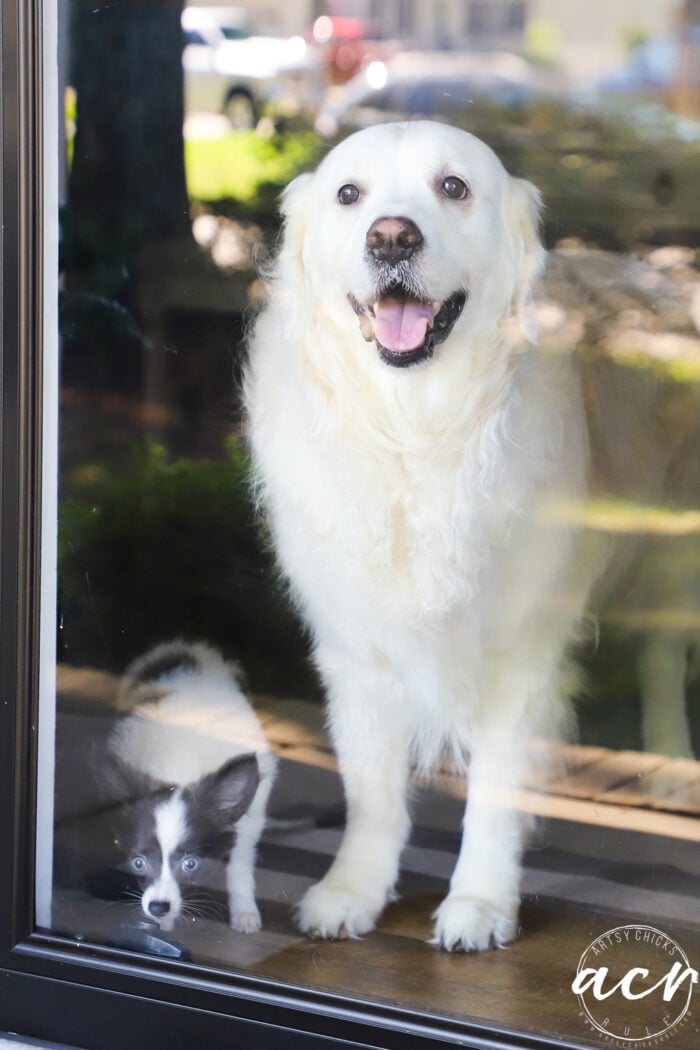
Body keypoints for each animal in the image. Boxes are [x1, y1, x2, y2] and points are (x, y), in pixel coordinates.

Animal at [102, 642, 274, 932]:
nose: (157, 908)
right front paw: (163, 924)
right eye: (138, 863)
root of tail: (188, 645)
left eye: (190, 864)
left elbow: (240, 861)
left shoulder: (254, 813)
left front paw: (244, 912)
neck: (180, 770)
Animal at [245, 120, 696, 953]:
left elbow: (494, 791)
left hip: (675, 546)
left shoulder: (520, 650)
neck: (413, 429)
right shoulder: (355, 643)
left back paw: (674, 763)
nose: (392, 236)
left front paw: (481, 902)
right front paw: (353, 889)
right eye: (348, 193)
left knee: (661, 656)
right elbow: (371, 790)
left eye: (453, 187)